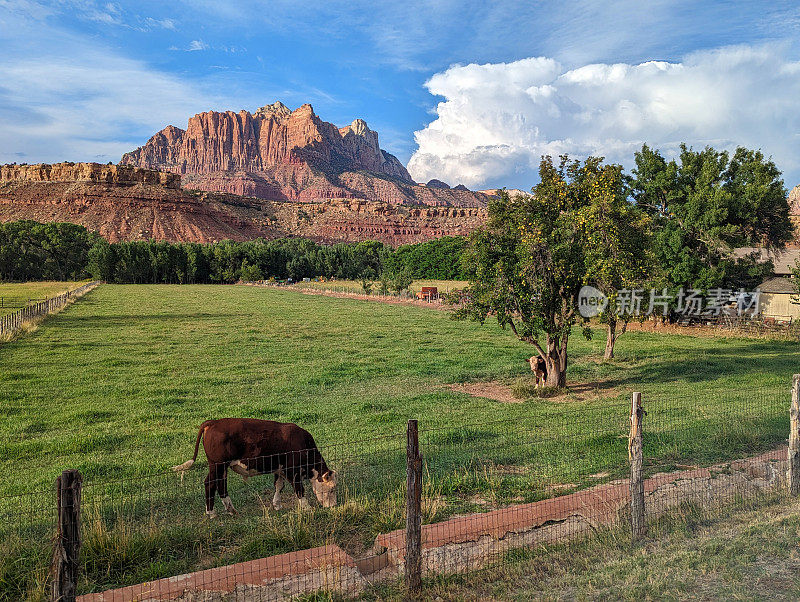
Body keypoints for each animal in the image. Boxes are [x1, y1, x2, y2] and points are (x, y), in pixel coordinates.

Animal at [173, 418, 336, 516]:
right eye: (332, 489)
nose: (333, 506)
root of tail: (212, 422)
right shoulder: (292, 471)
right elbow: (299, 489)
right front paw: (307, 507)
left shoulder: (280, 469)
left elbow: (279, 486)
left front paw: (277, 504)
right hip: (217, 465)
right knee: (210, 484)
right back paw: (211, 513)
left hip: (222, 468)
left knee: (221, 485)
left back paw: (231, 509)